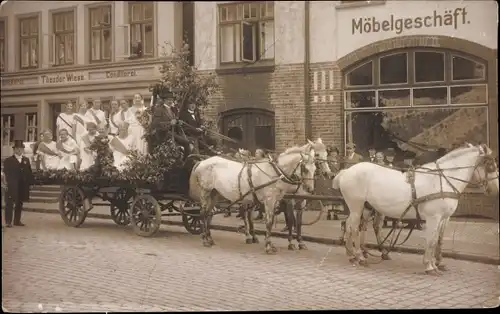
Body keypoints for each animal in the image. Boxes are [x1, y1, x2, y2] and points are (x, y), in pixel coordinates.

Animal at [188, 139, 328, 253]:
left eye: (314, 168)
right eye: (305, 168)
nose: (310, 189)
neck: (276, 172)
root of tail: (202, 162)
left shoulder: (280, 201)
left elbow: (289, 222)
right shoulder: (272, 200)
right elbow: (271, 221)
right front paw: (269, 246)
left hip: (215, 193)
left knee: (209, 213)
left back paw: (210, 238)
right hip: (205, 191)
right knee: (203, 213)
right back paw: (206, 239)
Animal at [334, 144, 498, 274]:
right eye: (490, 165)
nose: (496, 190)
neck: (443, 180)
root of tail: (346, 171)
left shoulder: (443, 218)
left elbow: (437, 240)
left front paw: (436, 263)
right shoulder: (434, 217)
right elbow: (431, 240)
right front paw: (429, 266)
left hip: (366, 207)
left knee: (351, 225)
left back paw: (352, 255)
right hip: (356, 205)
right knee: (354, 228)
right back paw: (360, 257)